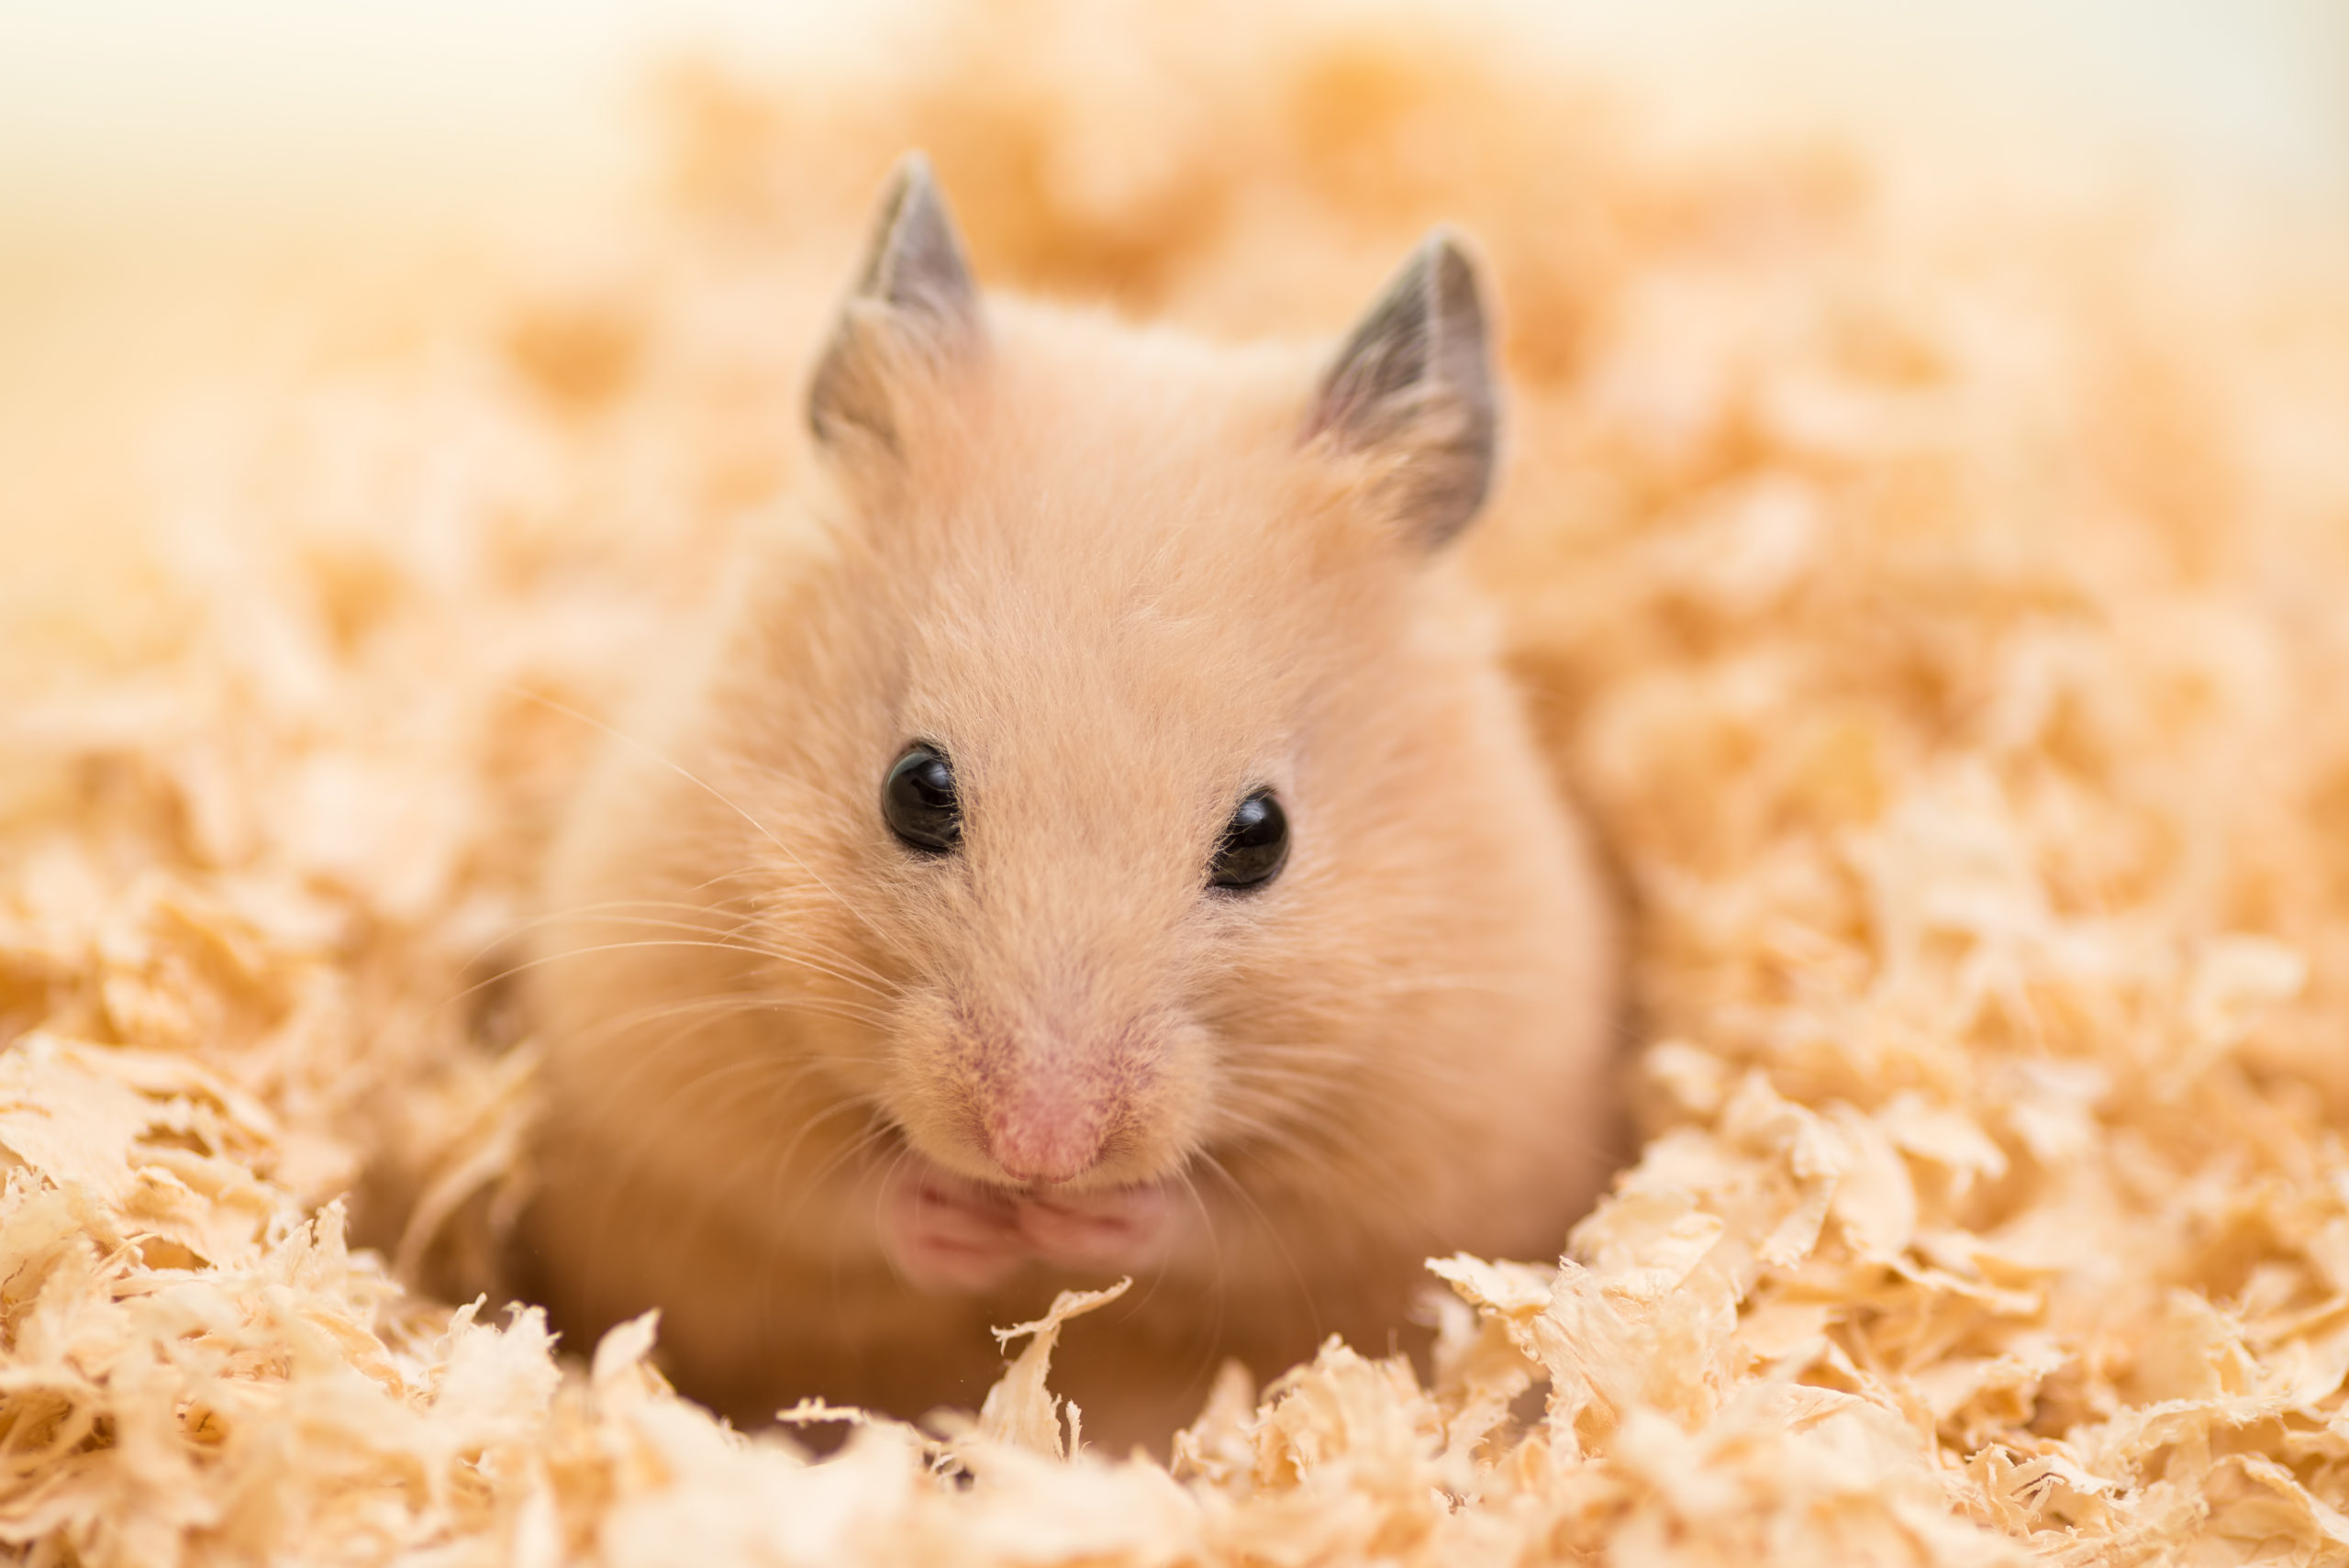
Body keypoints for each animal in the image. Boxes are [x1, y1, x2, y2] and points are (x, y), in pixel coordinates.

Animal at [507, 156, 1625, 1445]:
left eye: (1262, 837)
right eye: (914, 786)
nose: (1036, 1150)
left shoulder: (1450, 1121)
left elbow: (1248, 1227)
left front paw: (1082, 1224)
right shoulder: (656, 1033)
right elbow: (811, 1185)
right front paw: (967, 1218)